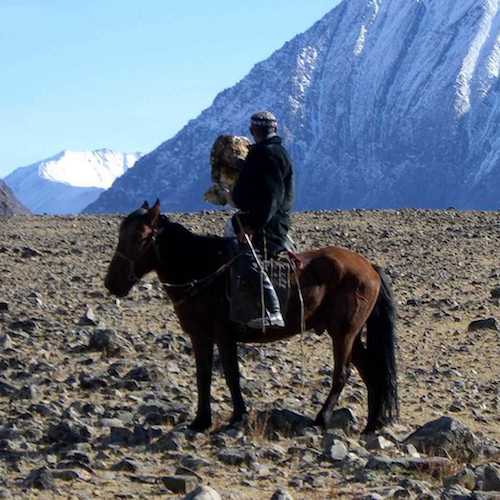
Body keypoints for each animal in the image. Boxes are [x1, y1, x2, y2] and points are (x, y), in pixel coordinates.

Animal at [104, 199, 398, 434]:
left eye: (139, 237)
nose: (112, 284)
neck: (202, 270)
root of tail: (369, 267)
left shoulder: (223, 335)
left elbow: (231, 375)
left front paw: (237, 417)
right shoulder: (200, 337)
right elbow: (203, 376)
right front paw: (201, 421)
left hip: (344, 332)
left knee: (342, 373)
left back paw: (322, 419)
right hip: (350, 334)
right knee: (372, 372)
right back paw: (372, 426)